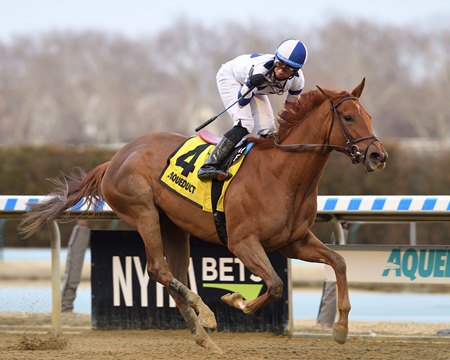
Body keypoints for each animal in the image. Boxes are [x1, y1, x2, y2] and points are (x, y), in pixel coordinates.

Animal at [20, 78, 386, 352]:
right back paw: (207, 313)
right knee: (158, 269)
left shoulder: (293, 241)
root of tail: (115, 157)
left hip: (173, 226)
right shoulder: (242, 242)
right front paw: (236, 300)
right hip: (143, 212)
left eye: (369, 115)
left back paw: (203, 337)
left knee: (171, 273)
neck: (281, 173)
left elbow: (339, 262)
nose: (378, 155)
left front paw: (341, 328)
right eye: (349, 117)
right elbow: (275, 285)